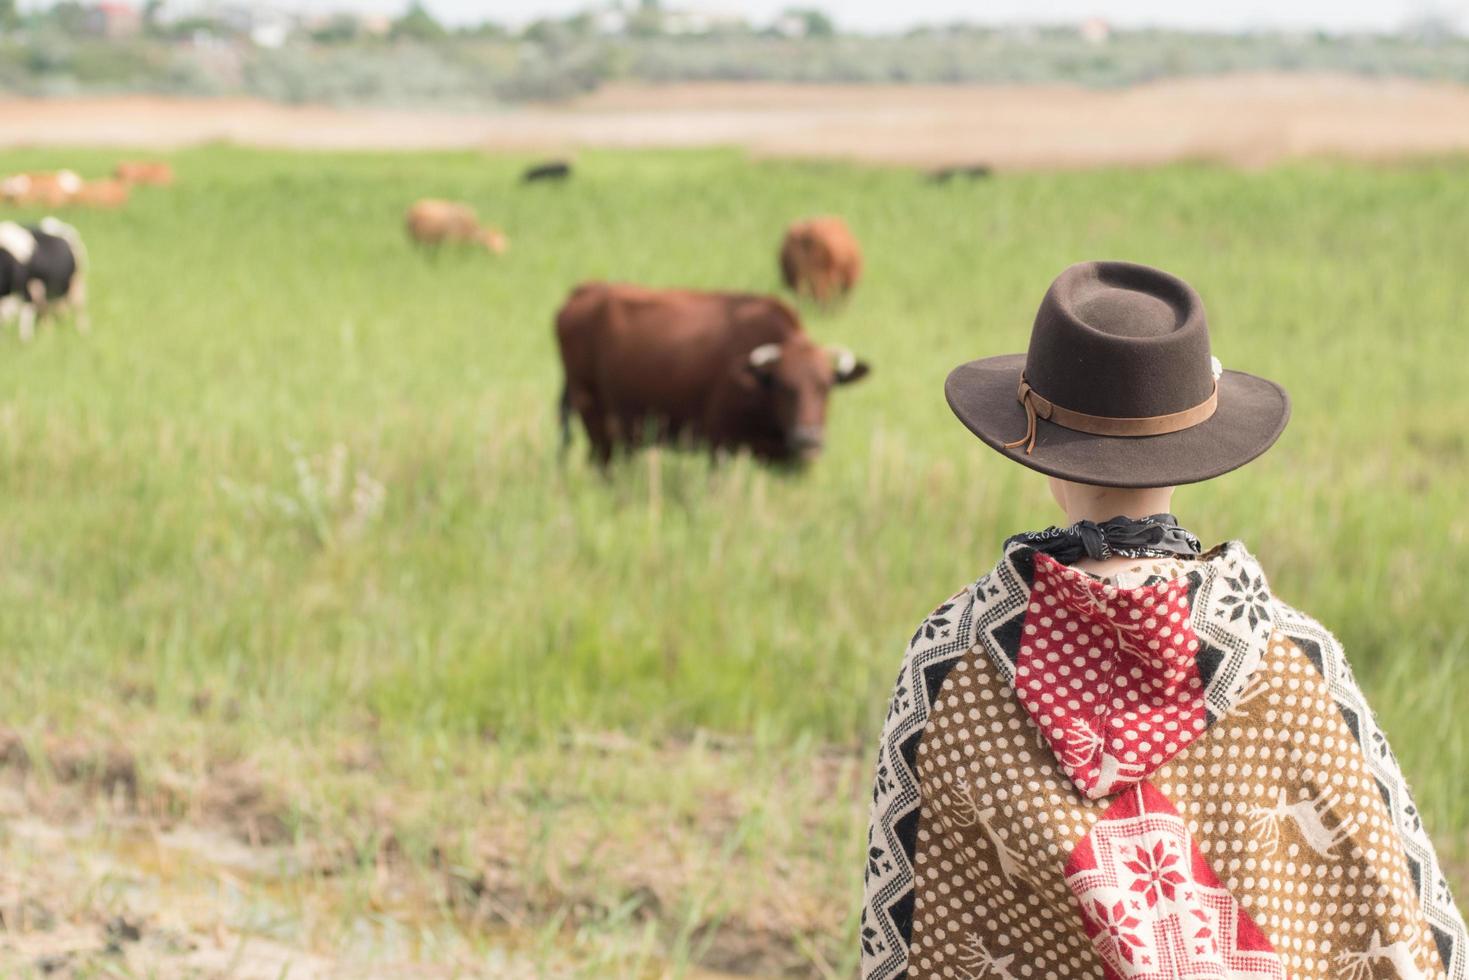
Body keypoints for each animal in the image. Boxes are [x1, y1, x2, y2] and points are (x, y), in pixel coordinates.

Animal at [552, 283, 869, 467]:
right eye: (782, 385)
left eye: (826, 386)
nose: (807, 438)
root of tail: (582, 292)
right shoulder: (720, 443)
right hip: (598, 424)